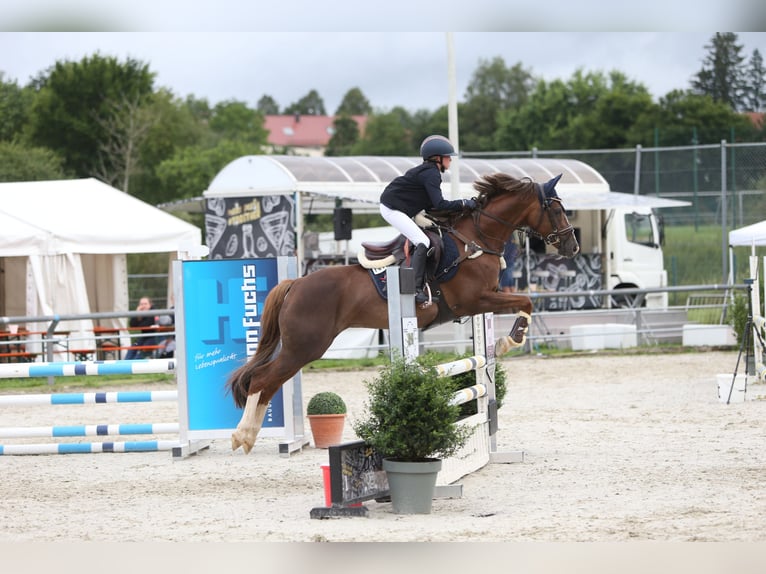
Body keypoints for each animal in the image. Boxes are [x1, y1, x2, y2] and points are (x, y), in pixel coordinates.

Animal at [231, 171, 580, 454]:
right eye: (557, 209)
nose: (572, 247)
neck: (474, 240)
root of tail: (296, 284)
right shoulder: (475, 300)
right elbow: (526, 301)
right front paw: (512, 340)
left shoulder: (485, 300)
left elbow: (523, 303)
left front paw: (506, 341)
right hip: (305, 346)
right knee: (262, 379)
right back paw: (243, 435)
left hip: (302, 347)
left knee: (268, 382)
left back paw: (248, 435)